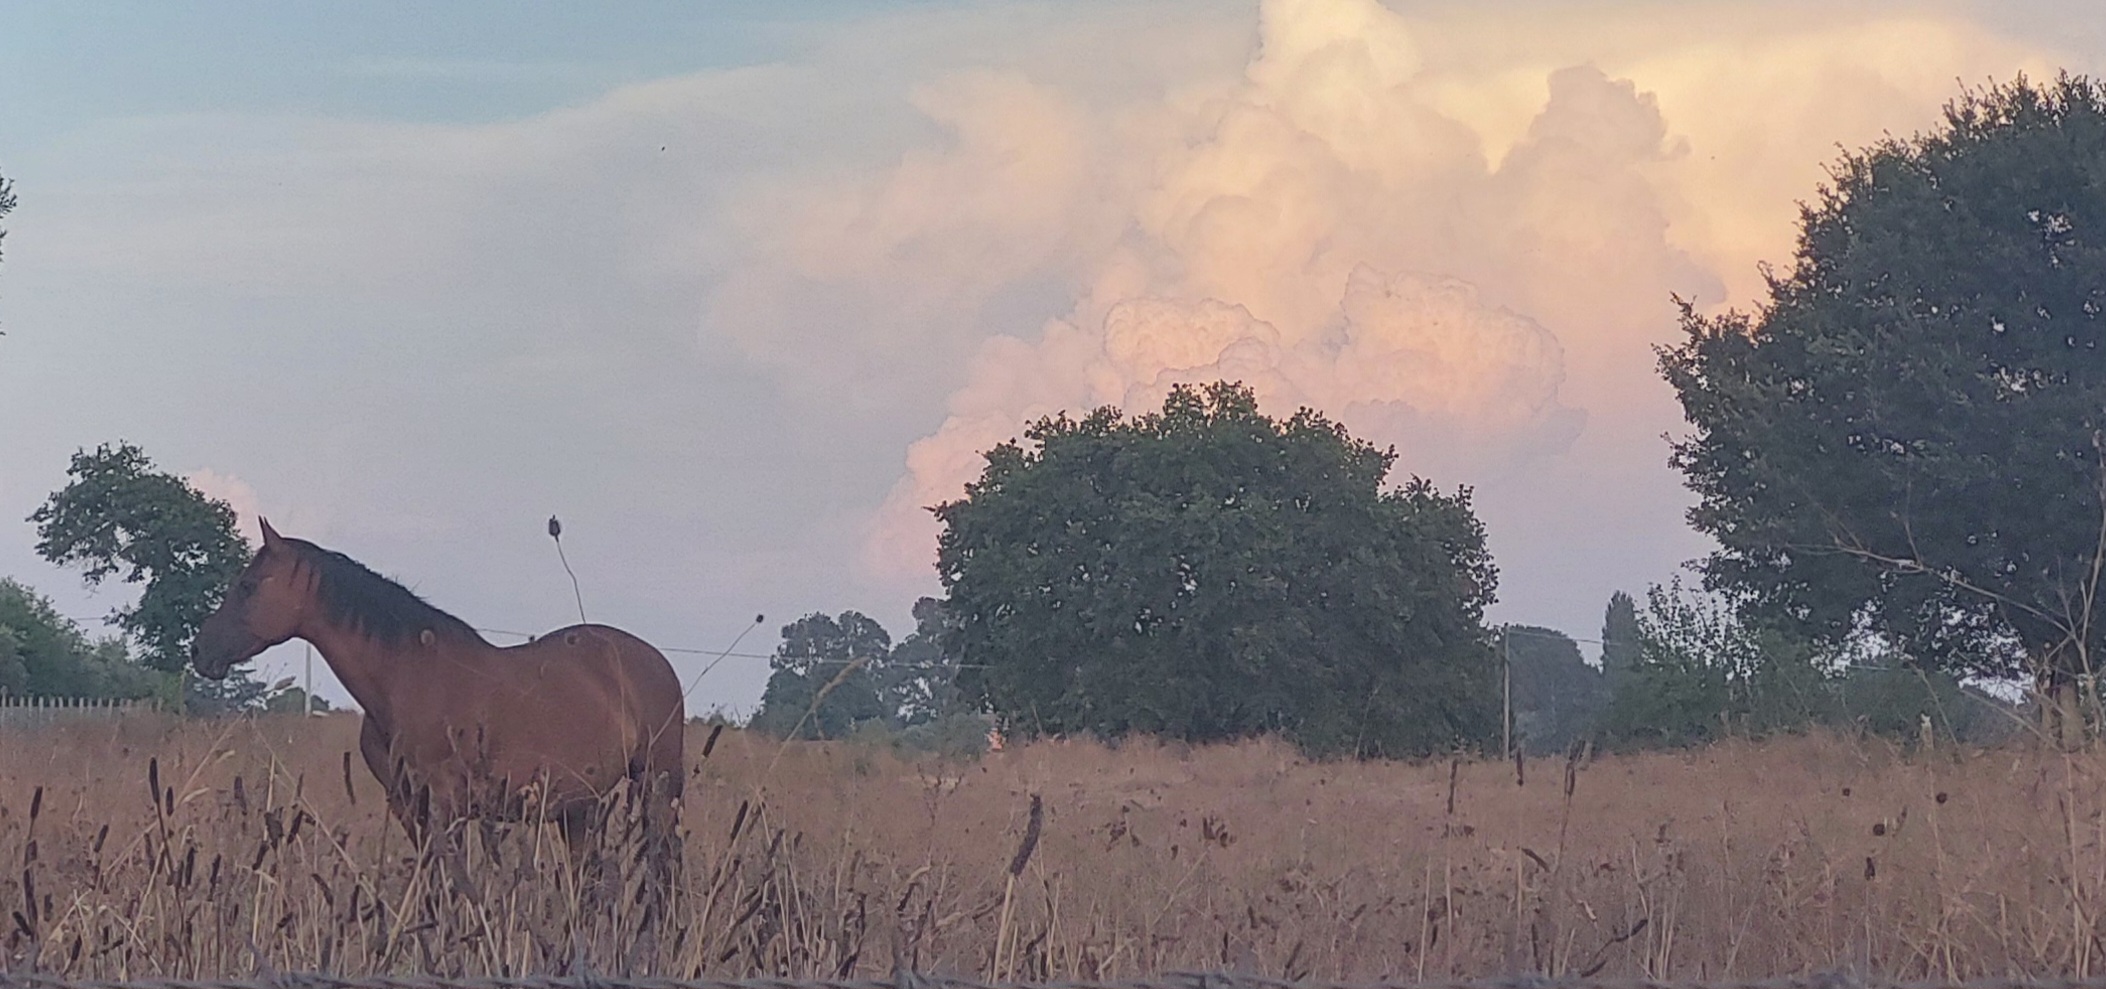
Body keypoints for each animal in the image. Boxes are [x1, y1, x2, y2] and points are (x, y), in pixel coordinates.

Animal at [188, 517, 682, 866]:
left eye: (247, 586)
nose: (201, 650)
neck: (405, 679)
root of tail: (655, 662)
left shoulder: (447, 808)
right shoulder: (411, 809)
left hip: (656, 787)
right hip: (580, 807)